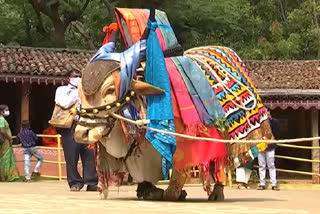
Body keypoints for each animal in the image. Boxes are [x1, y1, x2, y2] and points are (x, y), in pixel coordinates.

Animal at [72, 2, 272, 201]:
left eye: (110, 90)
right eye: (79, 91)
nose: (81, 134)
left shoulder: (184, 145)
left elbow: (177, 178)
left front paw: (174, 192)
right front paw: (147, 190)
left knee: (220, 164)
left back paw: (217, 191)